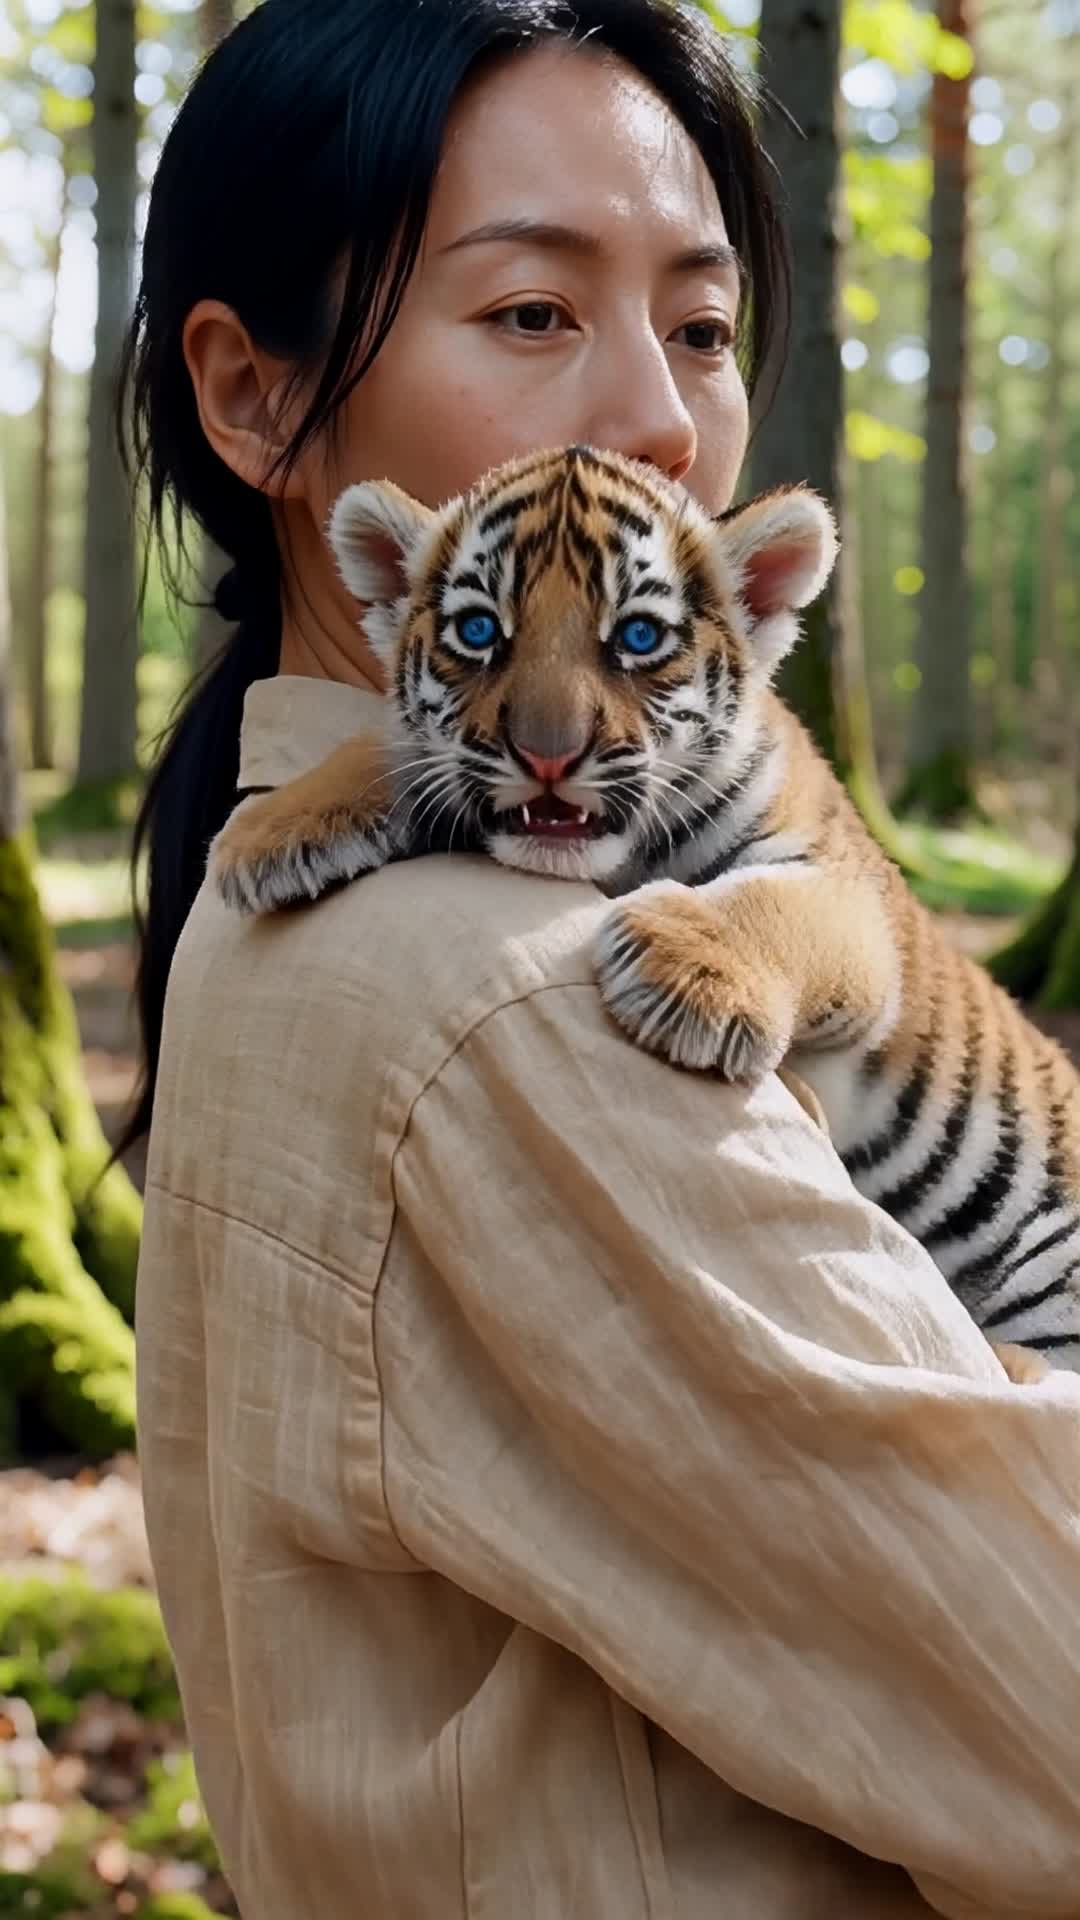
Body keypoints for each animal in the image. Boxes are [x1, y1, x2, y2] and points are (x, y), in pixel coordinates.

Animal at [210, 444, 1080, 1382]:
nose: (548, 755)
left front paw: (688, 976)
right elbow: (400, 748)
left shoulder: (843, 887)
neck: (625, 864)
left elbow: (770, 903)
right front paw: (270, 830)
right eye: (478, 632)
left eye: (637, 637)